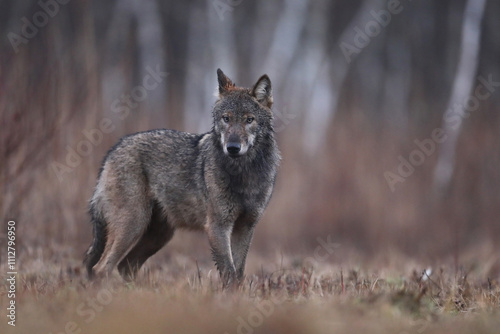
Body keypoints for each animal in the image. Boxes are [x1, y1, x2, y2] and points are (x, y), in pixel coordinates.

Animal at [84, 68, 284, 288]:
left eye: (249, 120)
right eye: (226, 118)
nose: (232, 147)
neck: (243, 174)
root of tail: (113, 150)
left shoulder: (246, 227)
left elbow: (238, 273)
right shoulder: (217, 226)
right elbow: (229, 272)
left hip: (158, 235)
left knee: (125, 266)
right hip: (133, 225)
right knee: (101, 268)